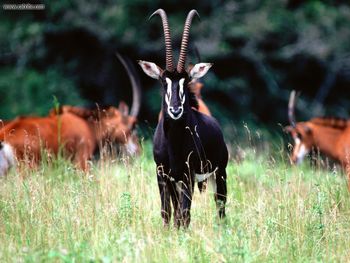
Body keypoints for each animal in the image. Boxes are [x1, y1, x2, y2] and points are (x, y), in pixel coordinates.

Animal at [138, 9, 228, 228]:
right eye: (164, 81)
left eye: (185, 81)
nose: (175, 109)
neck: (173, 142)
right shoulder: (163, 175)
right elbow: (168, 211)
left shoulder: (187, 176)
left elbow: (184, 214)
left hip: (220, 173)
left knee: (220, 205)